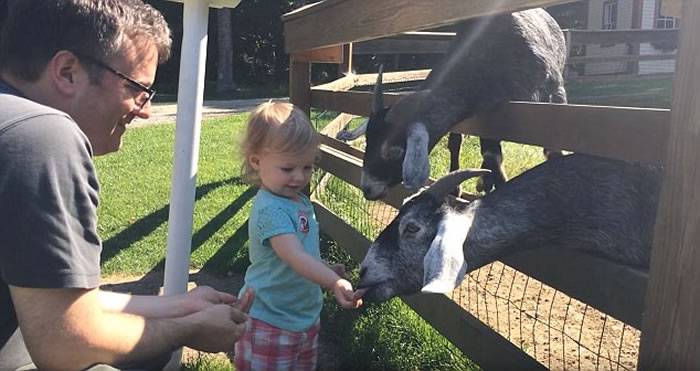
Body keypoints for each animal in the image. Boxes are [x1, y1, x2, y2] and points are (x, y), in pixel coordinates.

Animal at [344, 8, 568, 201]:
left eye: (395, 151)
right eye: (367, 140)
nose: (368, 189)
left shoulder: (554, 91)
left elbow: (552, 150)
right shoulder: (490, 111)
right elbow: (491, 155)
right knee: (456, 143)